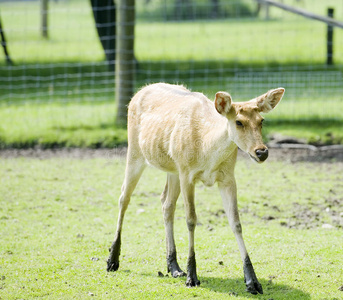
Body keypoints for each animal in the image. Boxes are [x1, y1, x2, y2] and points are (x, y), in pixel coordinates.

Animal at [107, 83, 284, 294]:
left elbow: (236, 222)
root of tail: (139, 92)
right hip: (135, 152)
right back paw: (112, 260)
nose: (262, 152)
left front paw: (253, 282)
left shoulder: (228, 177)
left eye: (261, 120)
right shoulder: (187, 174)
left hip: (172, 168)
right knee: (124, 197)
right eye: (239, 122)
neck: (207, 152)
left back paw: (174, 267)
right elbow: (191, 219)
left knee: (166, 203)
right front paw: (192, 277)